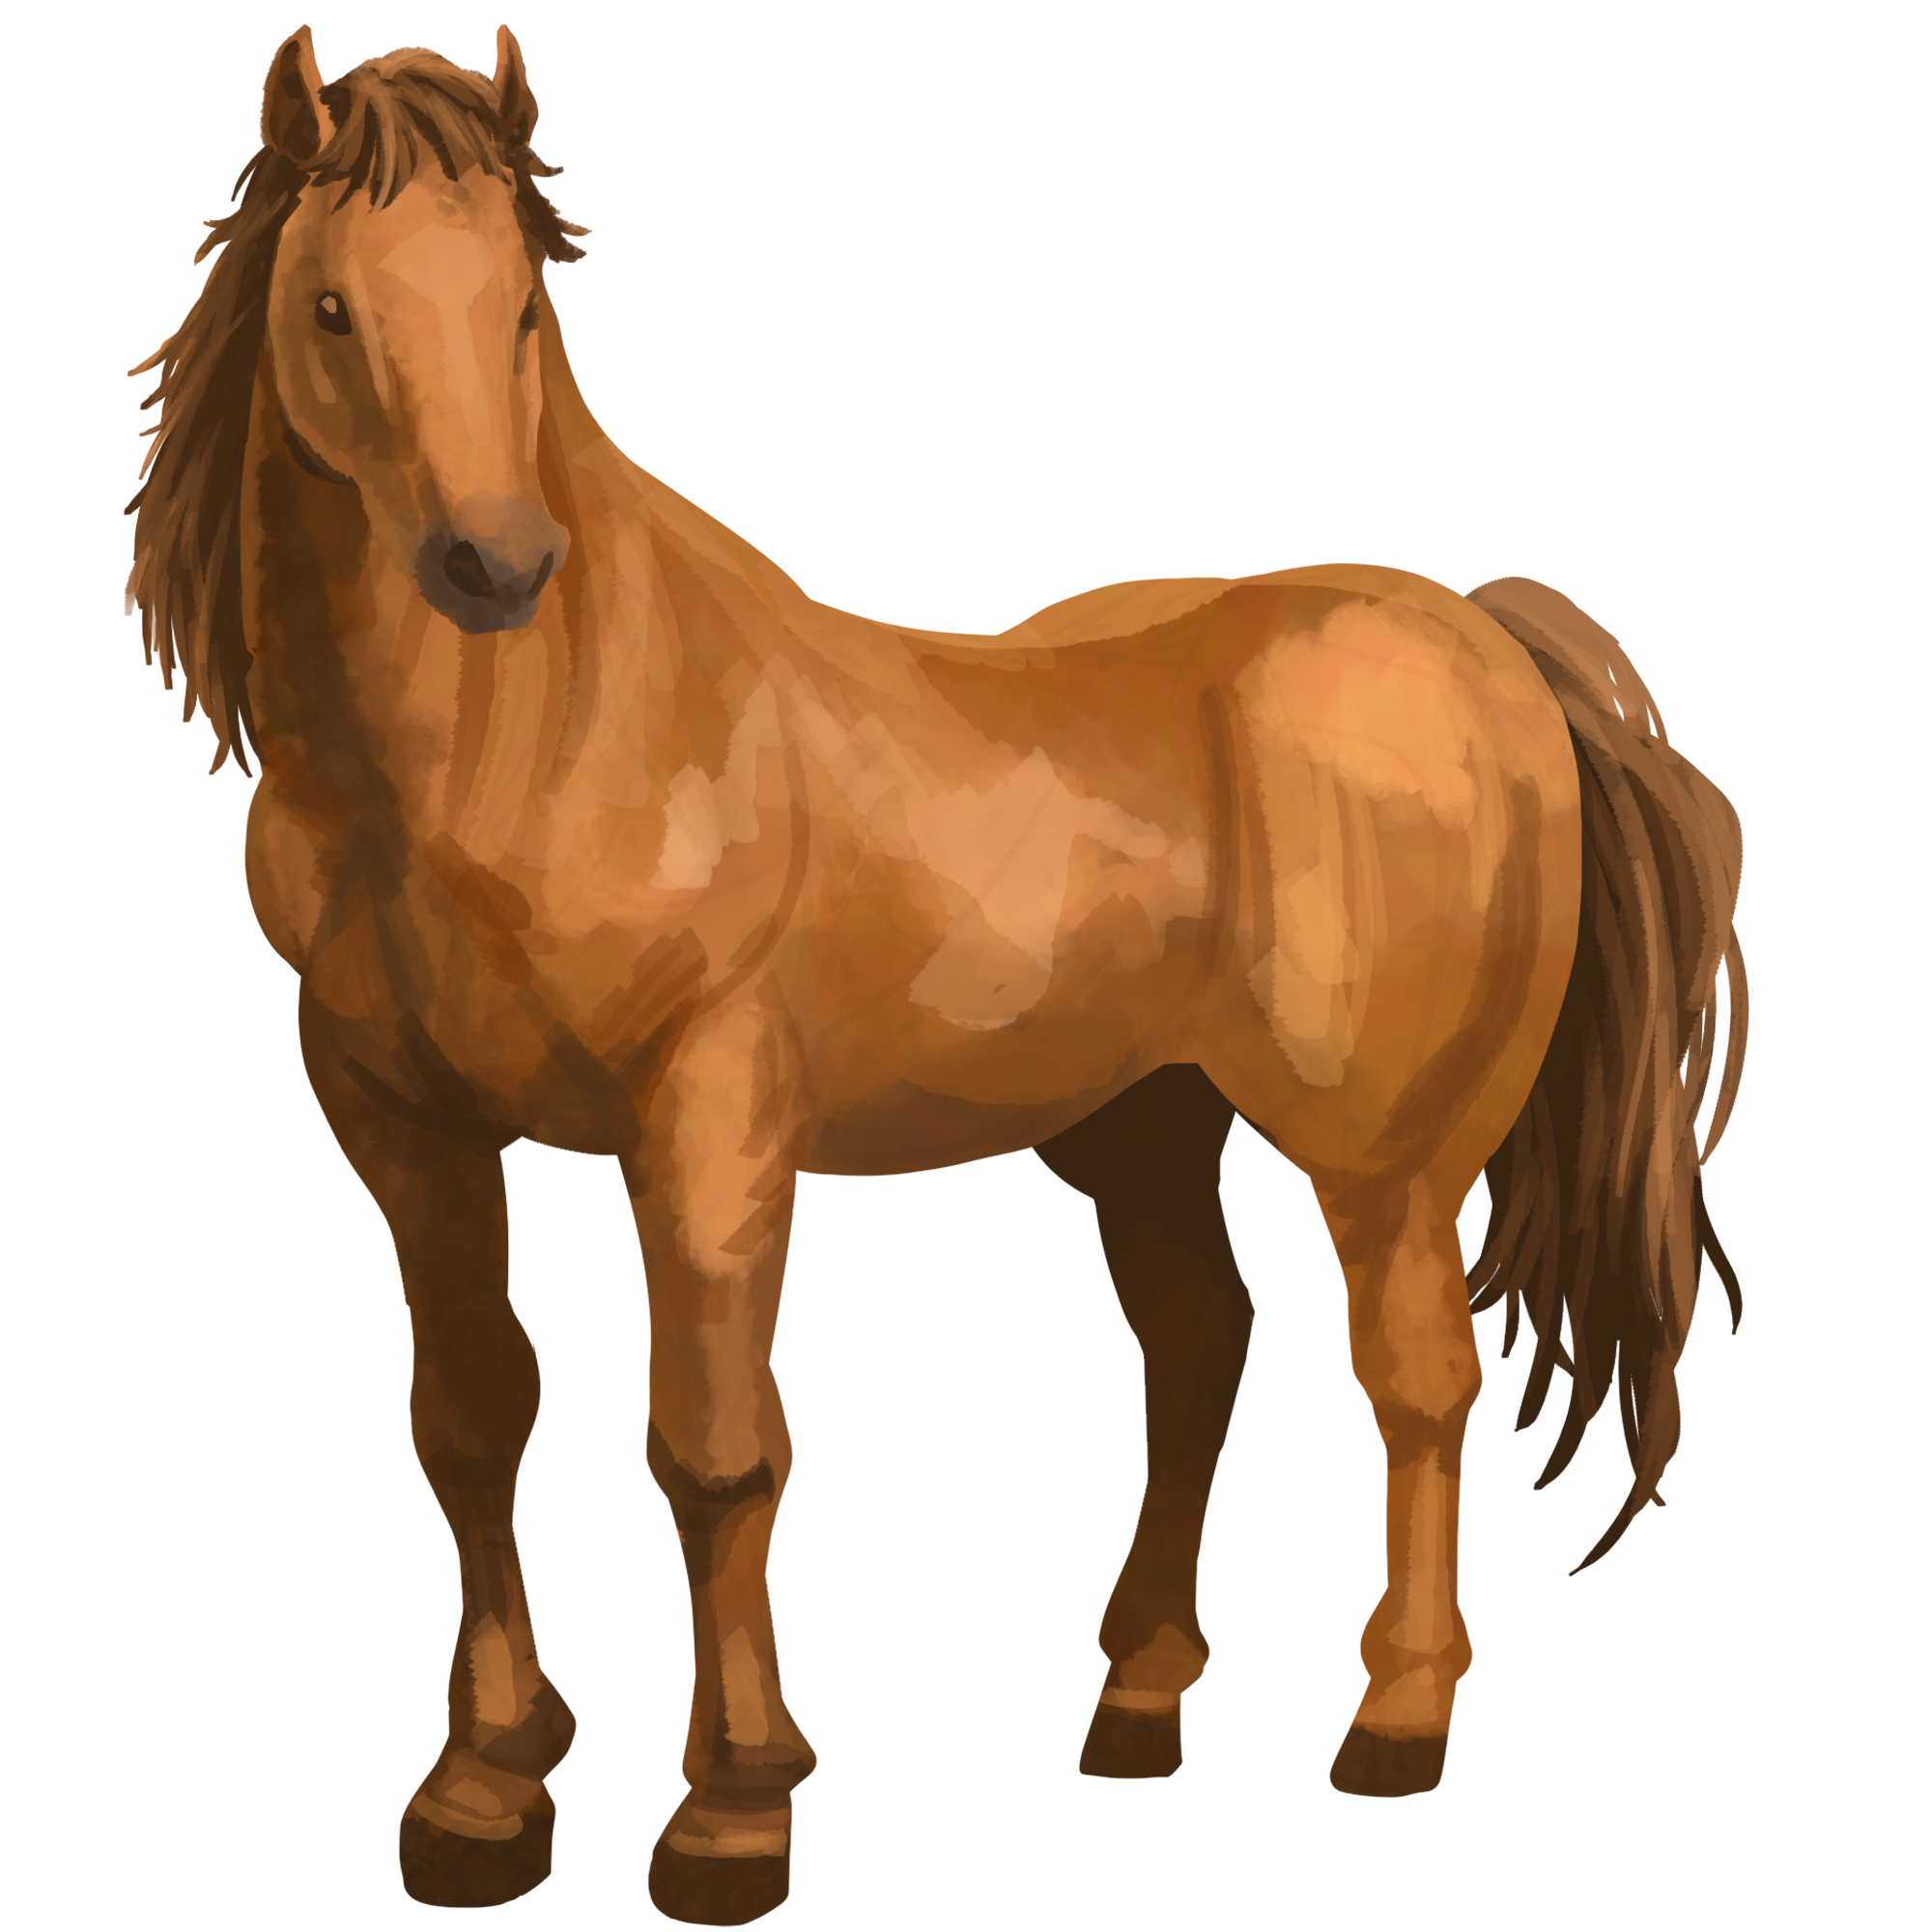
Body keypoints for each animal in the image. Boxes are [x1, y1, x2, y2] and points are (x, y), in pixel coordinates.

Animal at [126, 27, 1735, 1923]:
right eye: (327, 306)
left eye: (519, 303)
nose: (495, 565)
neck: (528, 741)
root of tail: (1479, 638)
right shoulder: (412, 1142)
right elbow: (474, 1444)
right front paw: (480, 1801)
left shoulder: (705, 1133)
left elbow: (716, 1469)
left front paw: (744, 1818)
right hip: (1146, 1130)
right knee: (1200, 1346)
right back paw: (1134, 1706)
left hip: (1386, 1163)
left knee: (1418, 1387)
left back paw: (1395, 1728)